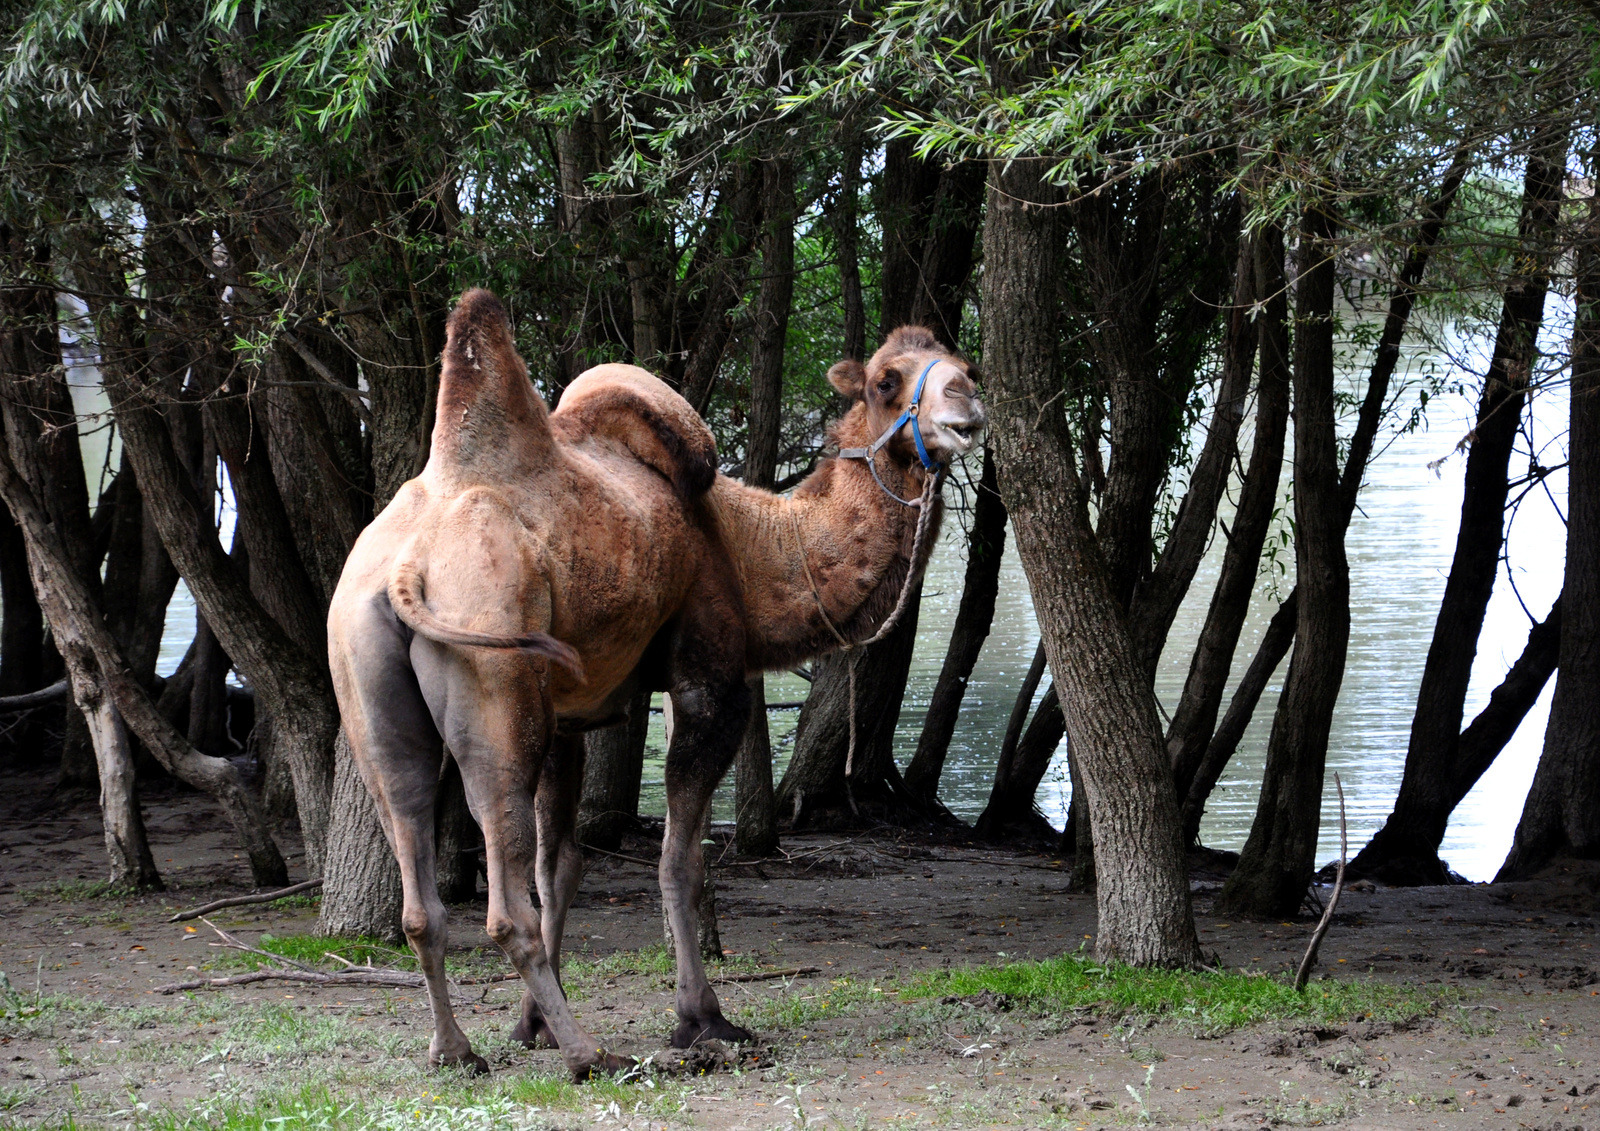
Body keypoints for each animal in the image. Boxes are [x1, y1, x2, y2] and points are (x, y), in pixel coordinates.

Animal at [326, 289, 985, 1081]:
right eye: (888, 380)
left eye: (960, 359)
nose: (966, 398)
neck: (749, 545)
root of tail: (408, 566)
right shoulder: (709, 678)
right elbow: (680, 862)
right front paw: (702, 1020)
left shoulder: (569, 716)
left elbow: (563, 864)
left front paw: (530, 1026)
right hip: (495, 677)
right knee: (503, 901)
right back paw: (589, 1053)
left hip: (370, 679)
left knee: (420, 880)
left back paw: (455, 1049)